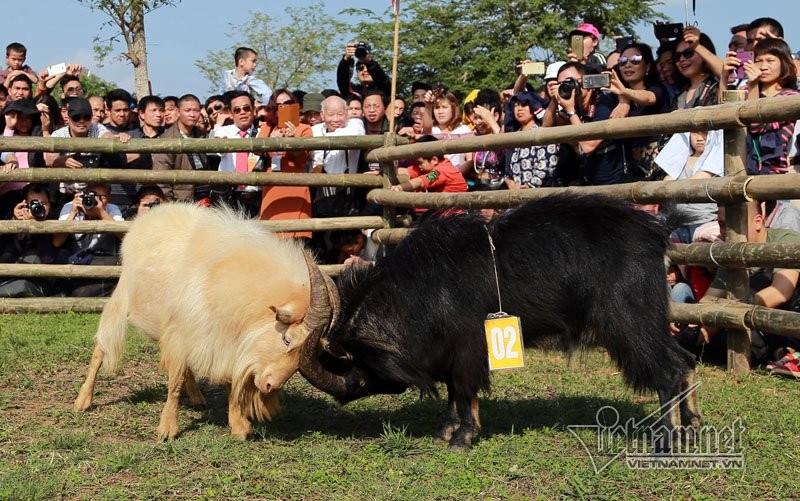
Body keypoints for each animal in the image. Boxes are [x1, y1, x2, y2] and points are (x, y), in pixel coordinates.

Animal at [300, 193, 700, 448]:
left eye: (351, 359)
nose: (344, 393)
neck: (419, 287)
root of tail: (659, 230)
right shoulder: (451, 349)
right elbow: (452, 391)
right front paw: (445, 431)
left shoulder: (467, 346)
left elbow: (464, 388)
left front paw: (463, 437)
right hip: (651, 319)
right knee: (686, 360)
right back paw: (693, 426)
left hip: (630, 319)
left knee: (668, 369)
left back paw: (668, 440)